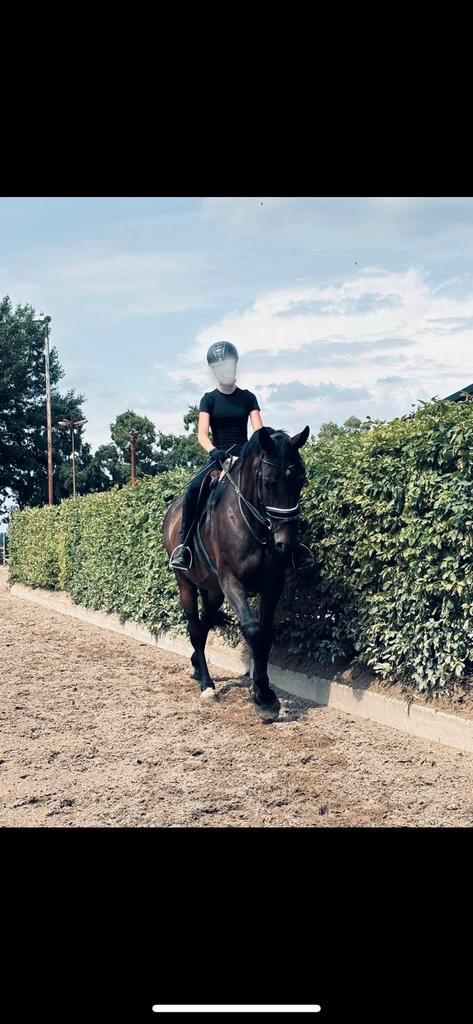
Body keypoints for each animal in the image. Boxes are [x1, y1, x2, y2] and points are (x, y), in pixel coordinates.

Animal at [162, 425, 310, 722]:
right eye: (268, 482)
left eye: (301, 481)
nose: (285, 544)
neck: (253, 525)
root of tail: (171, 512)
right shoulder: (232, 582)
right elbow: (253, 630)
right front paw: (264, 697)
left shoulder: (272, 585)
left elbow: (265, 634)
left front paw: (262, 691)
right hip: (186, 583)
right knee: (195, 627)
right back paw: (206, 684)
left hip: (213, 591)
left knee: (205, 624)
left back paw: (197, 665)